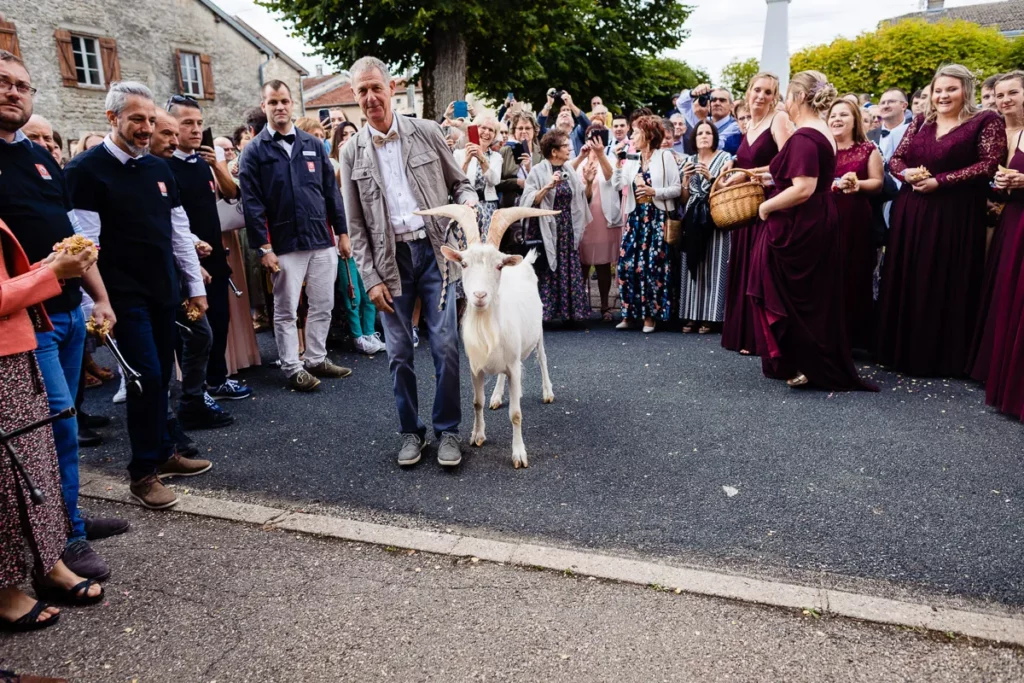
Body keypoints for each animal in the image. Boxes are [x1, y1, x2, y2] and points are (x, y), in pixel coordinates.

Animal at [411, 202, 561, 471]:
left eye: (498, 266)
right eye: (464, 264)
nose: (479, 295)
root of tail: (524, 264)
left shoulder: (513, 364)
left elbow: (516, 414)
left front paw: (519, 454)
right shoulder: (476, 367)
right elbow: (476, 402)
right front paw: (477, 435)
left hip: (538, 332)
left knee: (542, 358)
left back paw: (547, 392)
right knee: (502, 377)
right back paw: (497, 396)